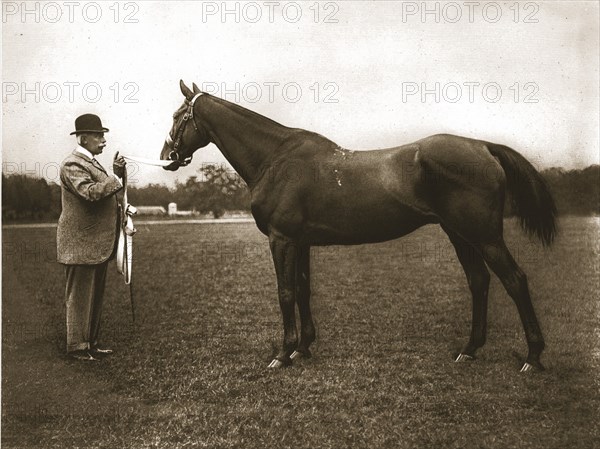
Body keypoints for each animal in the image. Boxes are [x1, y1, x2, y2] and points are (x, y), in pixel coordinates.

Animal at [161, 79, 556, 372]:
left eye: (179, 116)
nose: (167, 156)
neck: (277, 159)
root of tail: (482, 146)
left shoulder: (281, 239)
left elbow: (285, 292)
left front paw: (282, 354)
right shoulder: (300, 242)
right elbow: (303, 290)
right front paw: (304, 347)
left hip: (484, 236)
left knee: (515, 280)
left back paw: (532, 357)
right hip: (459, 234)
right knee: (479, 281)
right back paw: (469, 349)